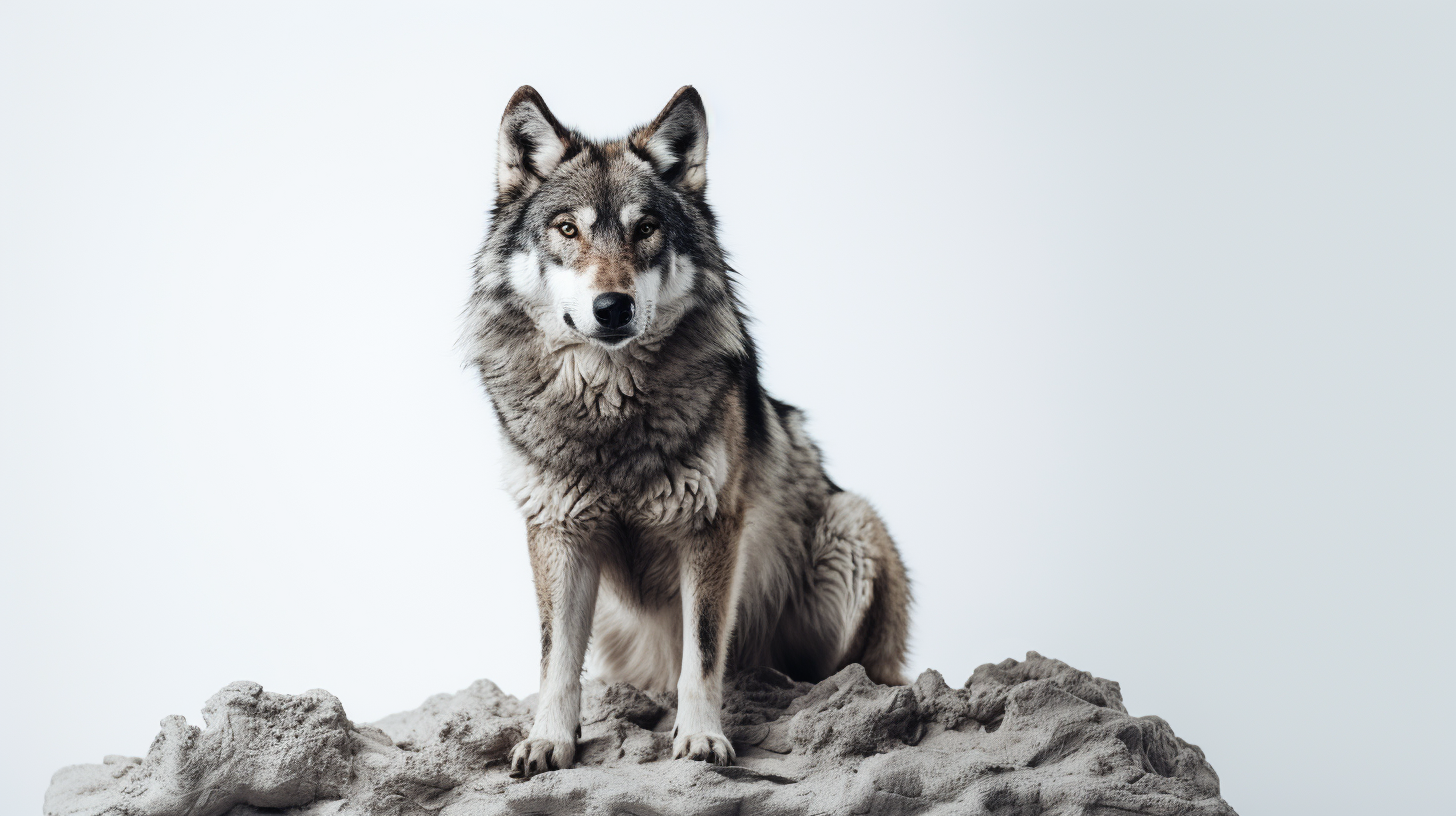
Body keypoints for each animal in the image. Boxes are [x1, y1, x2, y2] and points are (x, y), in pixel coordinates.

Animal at [463, 85, 908, 781]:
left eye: (646, 228)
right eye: (568, 229)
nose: (612, 307)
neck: (609, 412)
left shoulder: (711, 526)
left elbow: (701, 654)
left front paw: (700, 739)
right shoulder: (558, 532)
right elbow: (555, 660)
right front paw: (547, 742)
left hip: (853, 527)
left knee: (839, 672)